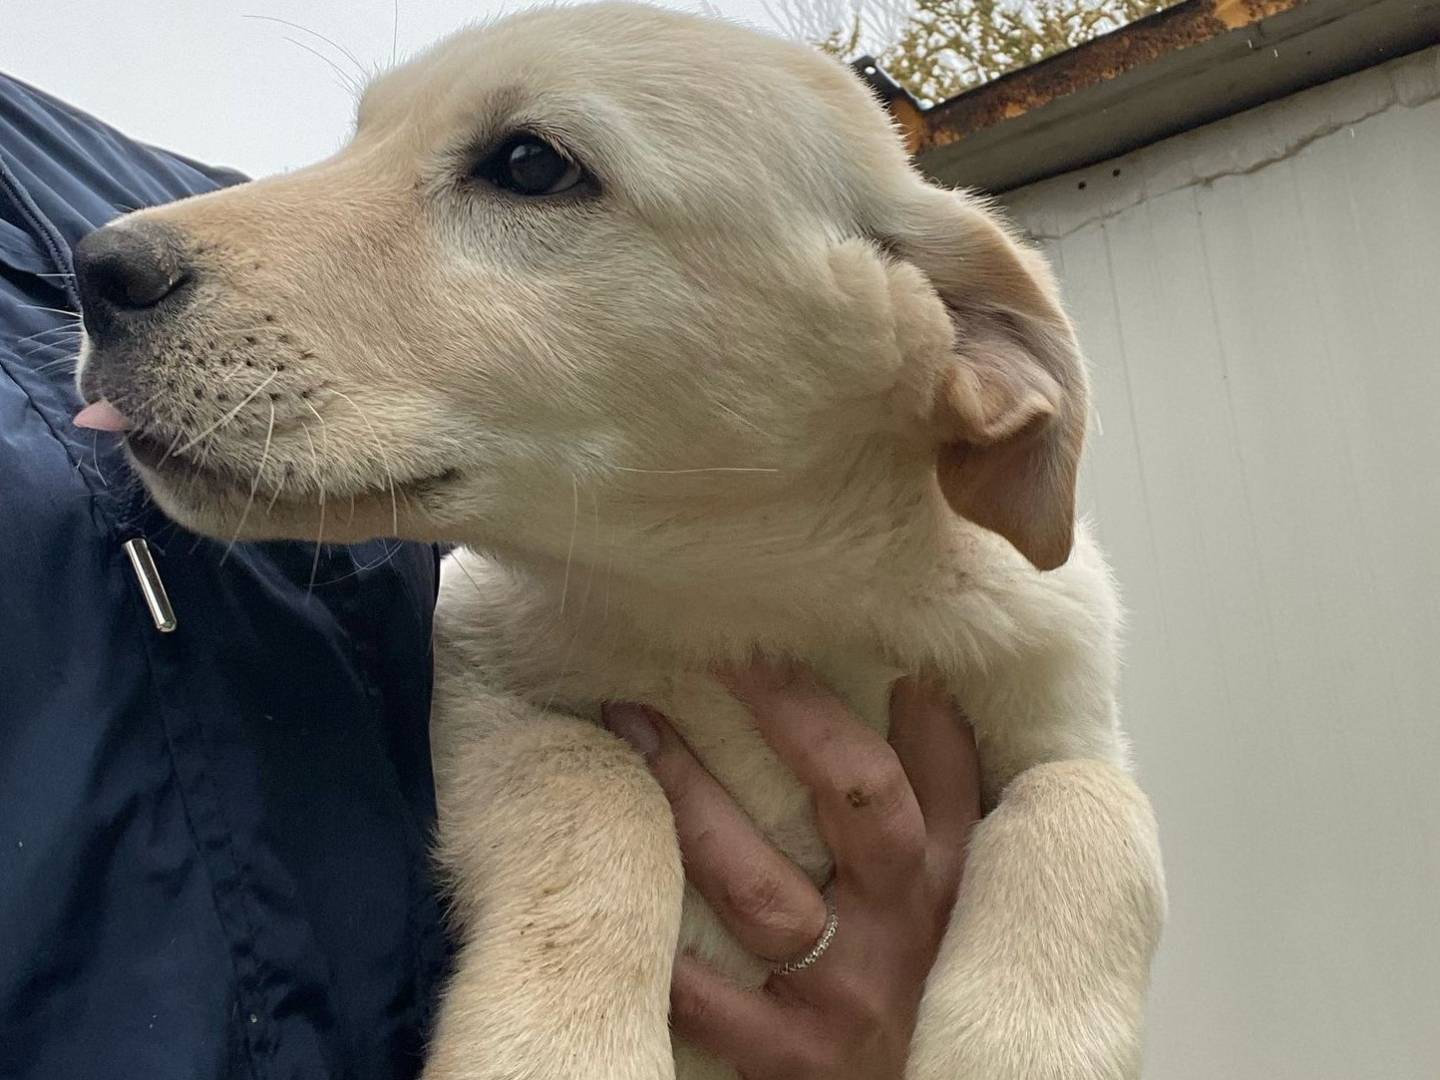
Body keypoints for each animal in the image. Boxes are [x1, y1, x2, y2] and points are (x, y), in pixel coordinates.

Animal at [73, 5, 1165, 1076]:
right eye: (359, 141)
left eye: (530, 164)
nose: (94, 271)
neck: (739, 601)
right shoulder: (474, 691)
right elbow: (601, 785)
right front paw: (552, 1045)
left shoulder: (1067, 707)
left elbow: (1092, 810)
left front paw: (1019, 1048)